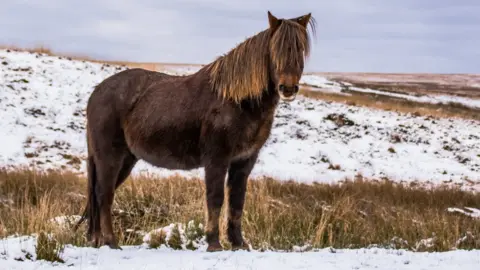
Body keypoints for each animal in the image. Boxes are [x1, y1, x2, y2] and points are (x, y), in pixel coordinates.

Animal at [74, 10, 316, 251]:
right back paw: (111, 242)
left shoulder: (244, 161)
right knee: (104, 195)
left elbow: (237, 201)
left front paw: (238, 243)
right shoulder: (217, 159)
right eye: (275, 50)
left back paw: (97, 241)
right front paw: (214, 243)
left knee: (100, 195)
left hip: (126, 159)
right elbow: (215, 199)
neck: (236, 100)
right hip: (110, 157)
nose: (288, 88)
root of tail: (97, 93)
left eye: (300, 49)